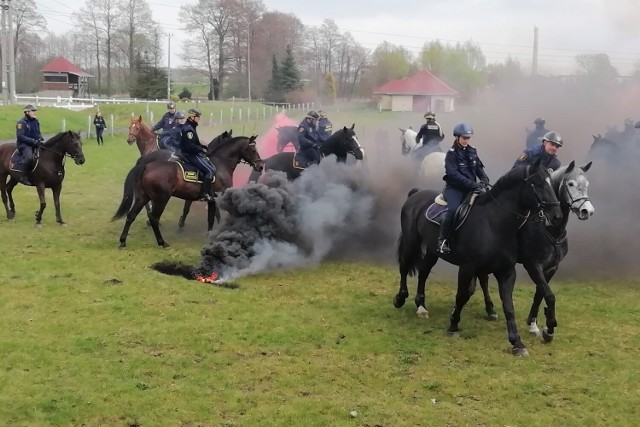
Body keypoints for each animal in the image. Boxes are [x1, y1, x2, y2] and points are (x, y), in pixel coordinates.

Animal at [114, 135, 264, 249]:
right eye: (253, 149)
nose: (260, 165)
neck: (220, 165)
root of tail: (146, 165)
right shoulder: (216, 197)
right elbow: (212, 217)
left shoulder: (210, 199)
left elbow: (211, 216)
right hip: (161, 199)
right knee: (154, 219)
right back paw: (162, 242)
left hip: (142, 197)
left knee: (131, 215)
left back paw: (123, 241)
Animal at [392, 159, 564, 356]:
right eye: (538, 183)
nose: (557, 216)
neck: (494, 223)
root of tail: (416, 194)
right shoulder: (468, 267)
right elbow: (461, 296)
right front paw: (453, 325)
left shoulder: (506, 271)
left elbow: (508, 306)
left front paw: (517, 343)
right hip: (411, 241)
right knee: (404, 266)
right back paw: (400, 298)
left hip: (432, 250)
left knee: (423, 271)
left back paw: (421, 307)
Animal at [476, 161, 596, 344]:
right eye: (570, 184)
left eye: (587, 184)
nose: (587, 211)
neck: (550, 229)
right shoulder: (533, 265)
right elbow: (549, 295)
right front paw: (550, 328)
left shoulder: (551, 268)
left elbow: (540, 294)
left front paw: (534, 324)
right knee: (483, 279)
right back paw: (490, 310)